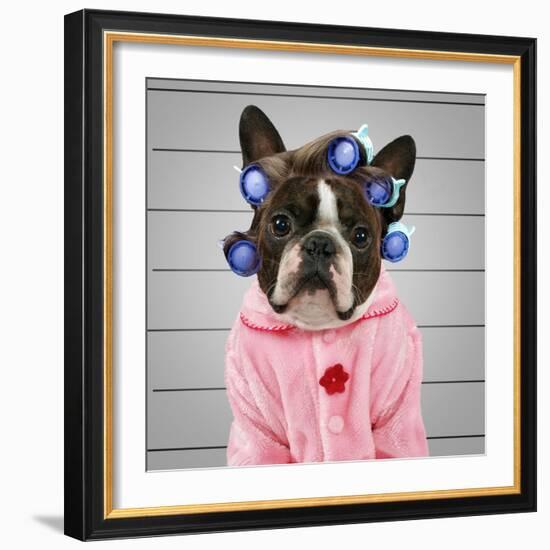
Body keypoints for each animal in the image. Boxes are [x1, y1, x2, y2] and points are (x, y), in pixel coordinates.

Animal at [222, 105, 430, 468]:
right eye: (280, 224)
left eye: (361, 236)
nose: (320, 243)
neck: (317, 326)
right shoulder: (257, 430)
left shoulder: (397, 418)